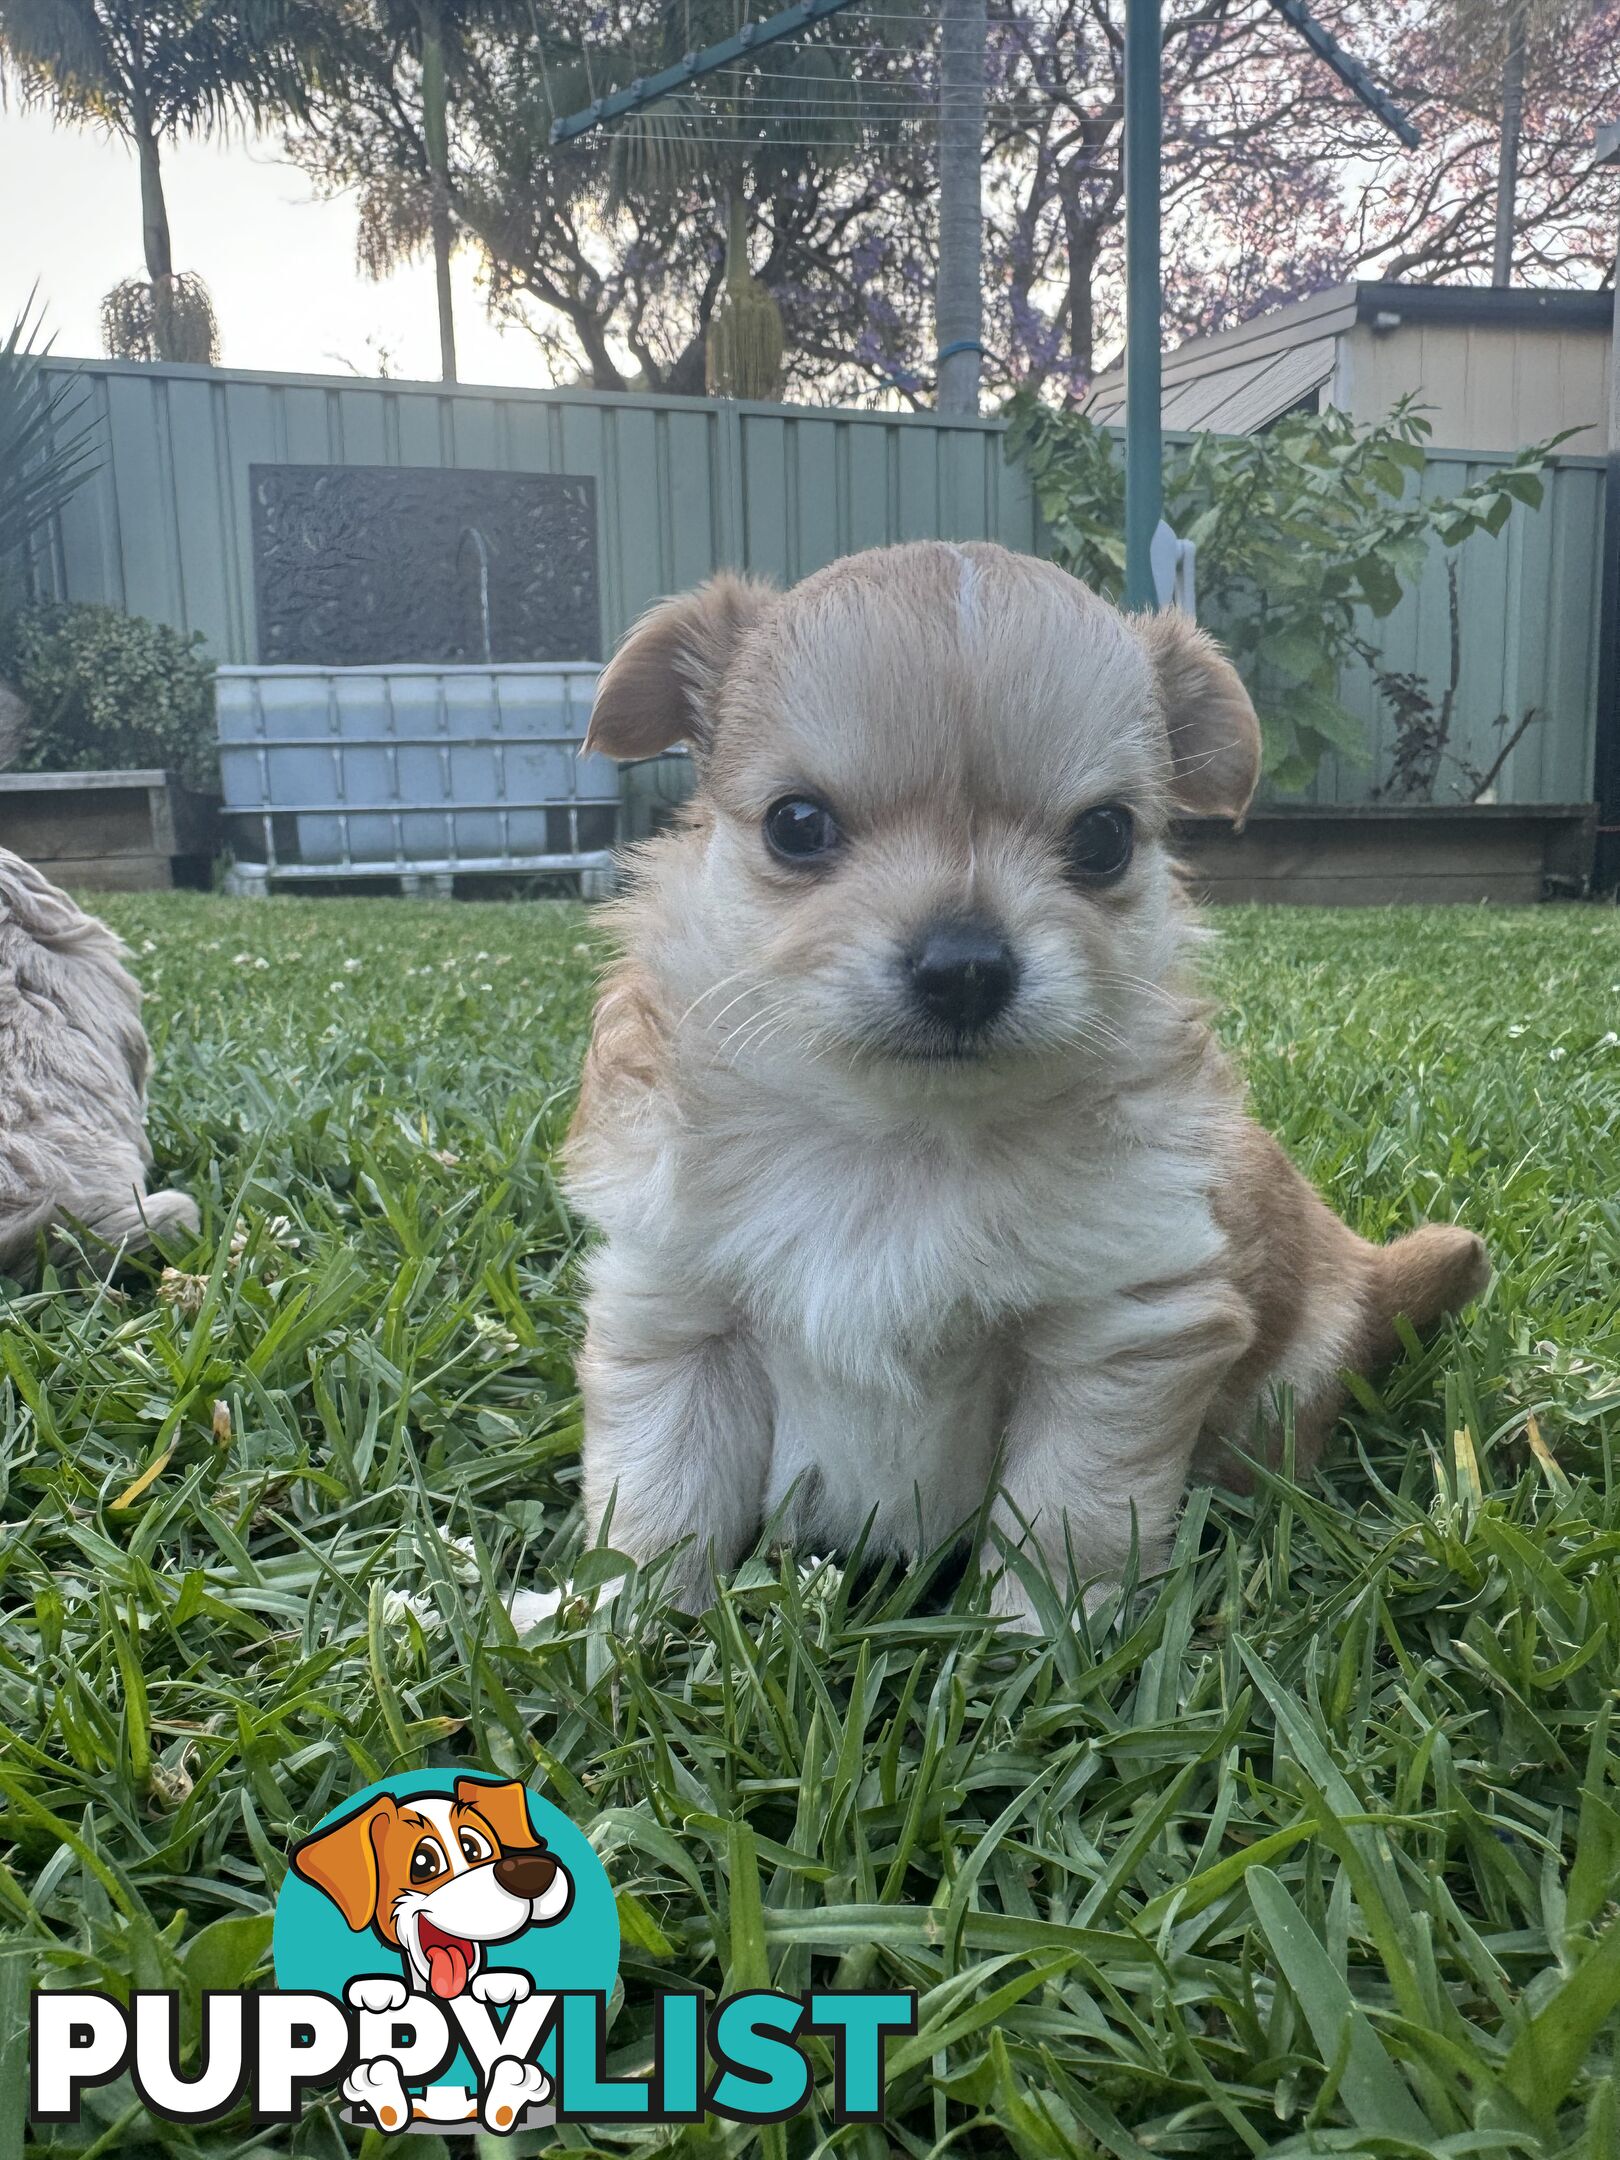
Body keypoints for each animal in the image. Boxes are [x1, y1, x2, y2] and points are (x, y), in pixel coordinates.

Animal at [557, 535, 1486, 1624]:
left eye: (1104, 837)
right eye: (797, 824)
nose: (964, 966)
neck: (901, 1140)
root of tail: (1370, 1273)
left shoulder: (1120, 1327)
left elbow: (1066, 1515)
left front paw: (1047, 1638)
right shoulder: (679, 1309)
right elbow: (660, 1495)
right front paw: (616, 1627)